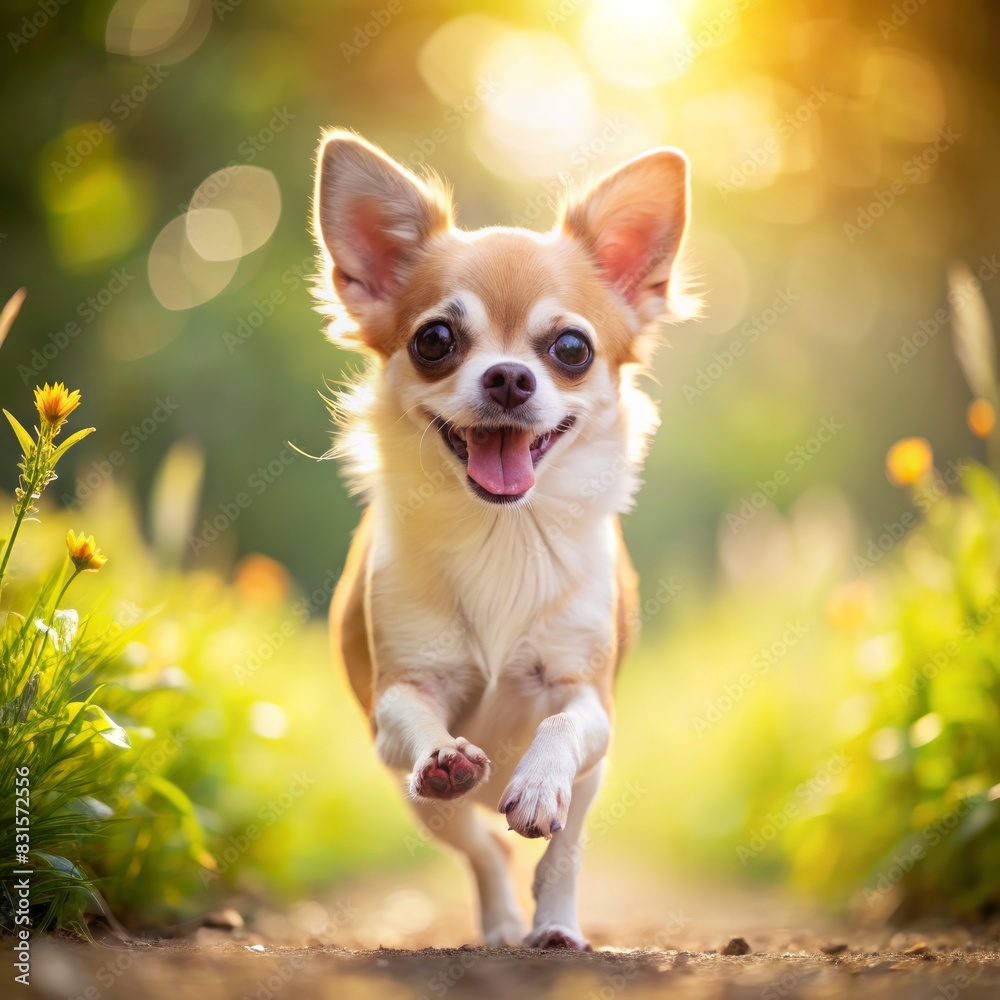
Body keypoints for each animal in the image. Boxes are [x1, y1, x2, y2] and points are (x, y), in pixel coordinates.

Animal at [310, 129, 688, 948]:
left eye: (572, 349)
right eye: (436, 340)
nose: (510, 377)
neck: (502, 532)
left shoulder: (588, 697)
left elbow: (563, 728)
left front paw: (538, 783)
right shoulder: (398, 698)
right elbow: (415, 720)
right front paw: (445, 754)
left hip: (594, 781)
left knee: (562, 851)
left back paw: (553, 925)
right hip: (420, 804)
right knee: (479, 841)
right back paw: (504, 921)